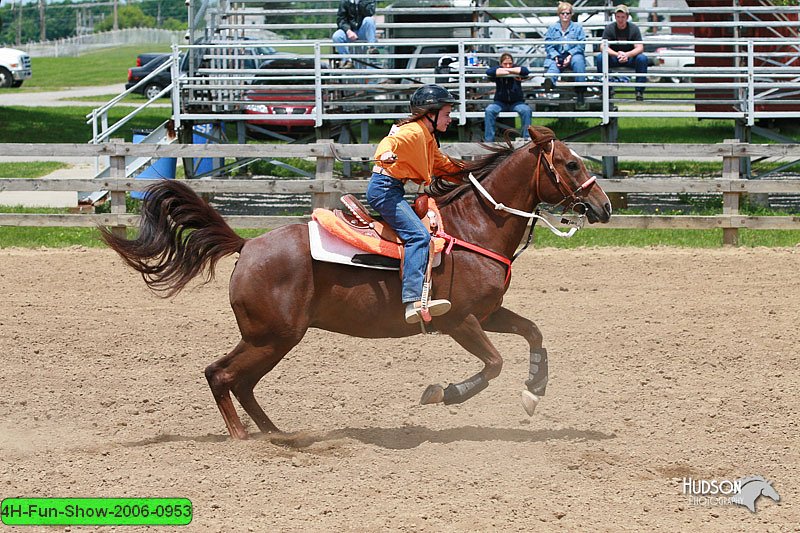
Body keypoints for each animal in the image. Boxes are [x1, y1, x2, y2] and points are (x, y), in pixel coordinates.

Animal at [101, 124, 612, 436]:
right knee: (221, 374)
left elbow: (533, 332)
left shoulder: (489, 313)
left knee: (237, 381)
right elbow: (493, 365)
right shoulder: (460, 321)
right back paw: (245, 437)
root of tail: (247, 246)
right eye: (571, 164)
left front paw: (533, 393)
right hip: (272, 336)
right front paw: (442, 393)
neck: (473, 227)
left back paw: (274, 434)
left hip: (274, 338)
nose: (604, 206)